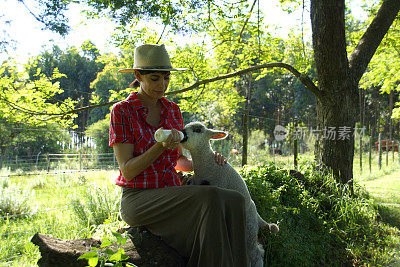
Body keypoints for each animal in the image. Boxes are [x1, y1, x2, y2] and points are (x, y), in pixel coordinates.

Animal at [180, 122, 280, 267]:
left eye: (198, 130)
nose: (182, 133)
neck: (208, 166)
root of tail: (257, 214)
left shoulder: (219, 184)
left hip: (248, 229)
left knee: (256, 253)